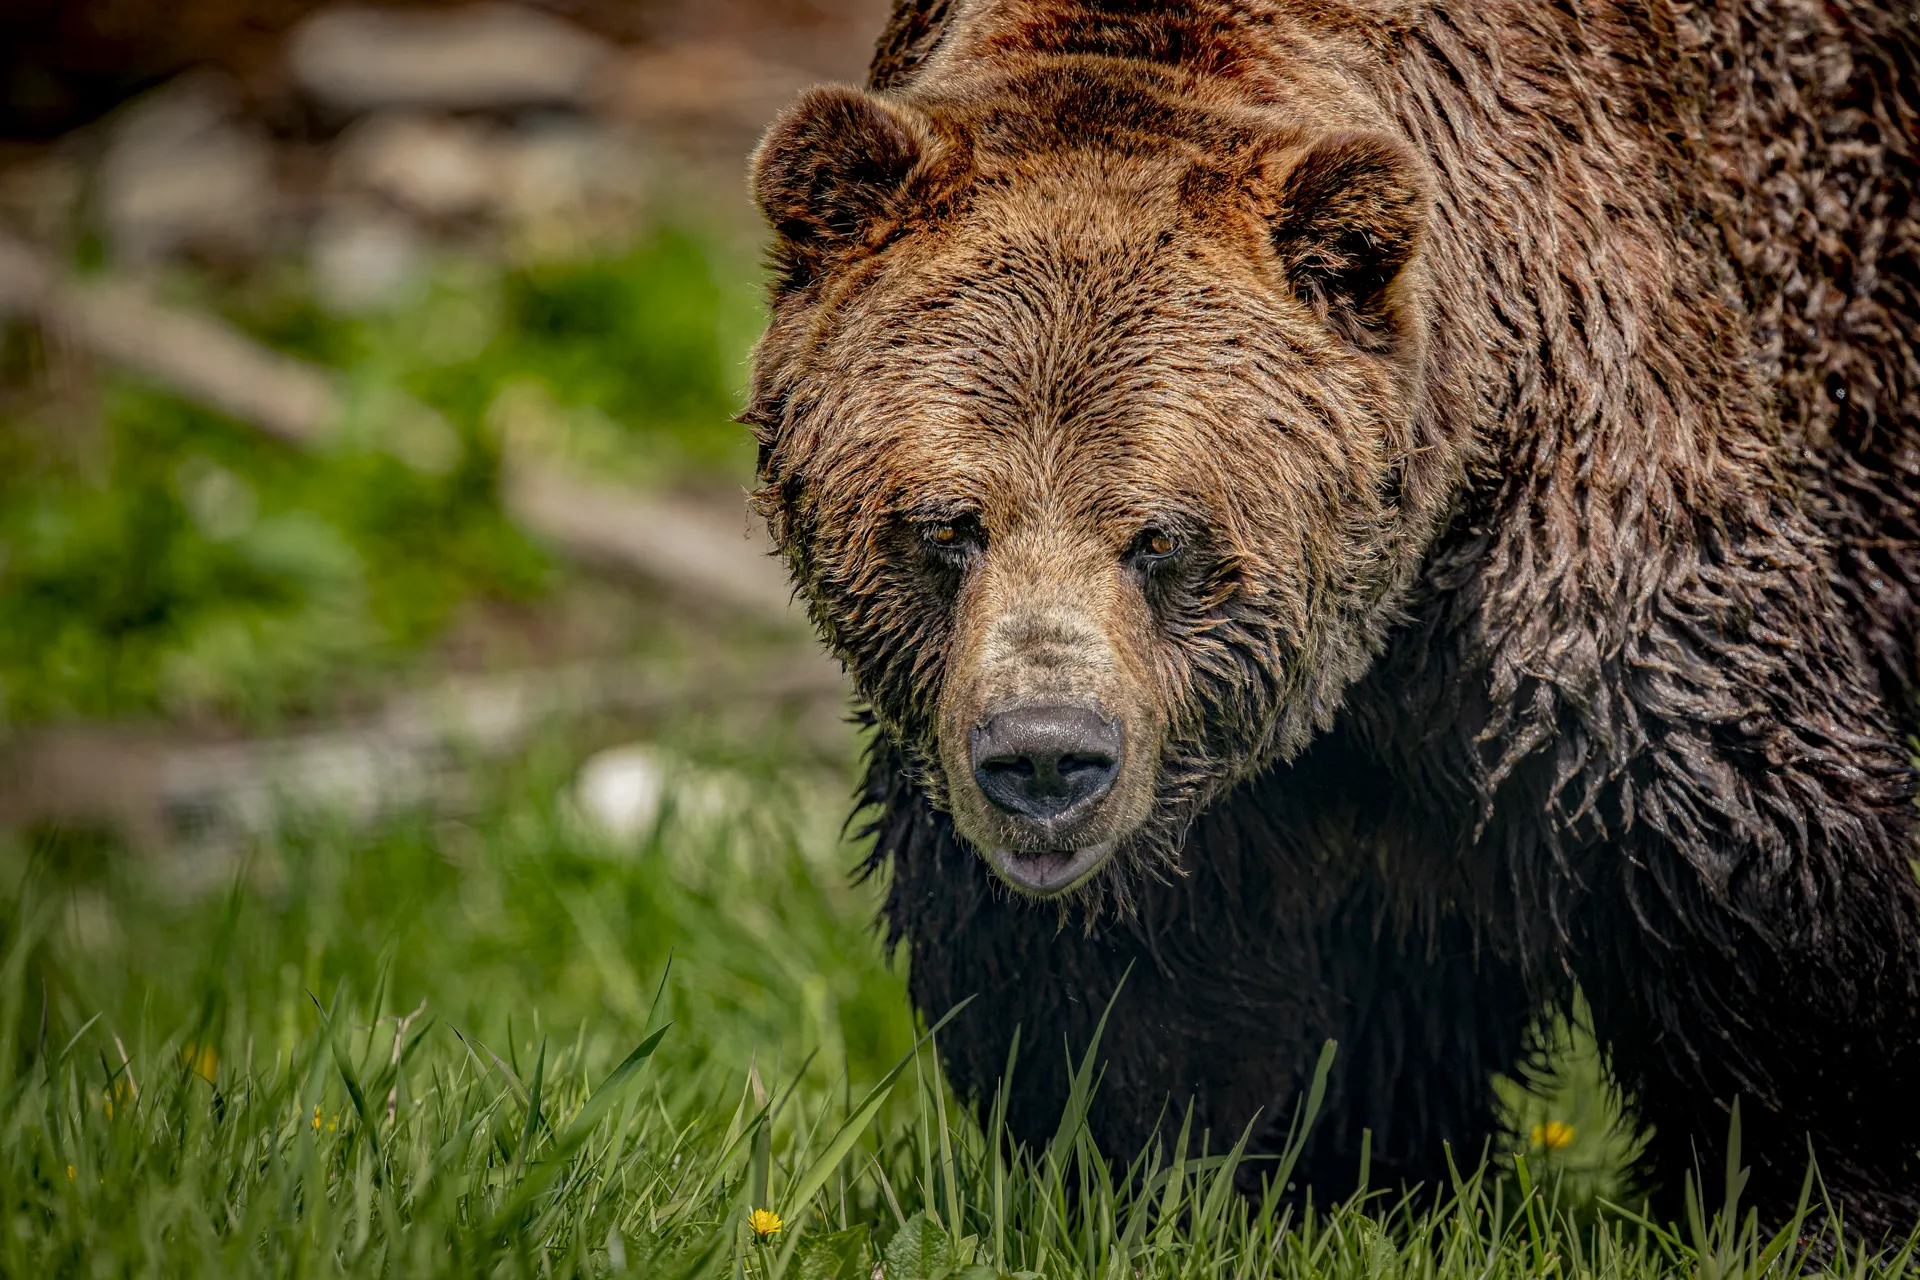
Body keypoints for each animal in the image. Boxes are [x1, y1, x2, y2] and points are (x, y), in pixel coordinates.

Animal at [745, 0, 1920, 1234]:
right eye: (950, 526)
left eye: (1159, 537)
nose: (1048, 757)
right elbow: (1138, 1003)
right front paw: (1215, 1179)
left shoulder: (1578, 533)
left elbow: (1743, 857)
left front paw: (1814, 1196)